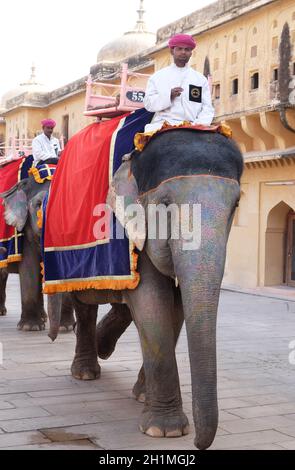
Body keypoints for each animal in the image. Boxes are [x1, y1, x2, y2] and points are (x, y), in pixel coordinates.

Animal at [0, 174, 76, 332]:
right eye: (38, 204)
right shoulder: (24, 228)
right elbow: (29, 267)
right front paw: (30, 327)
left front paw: (66, 328)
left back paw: (44, 318)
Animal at [32, 129, 244, 448]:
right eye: (165, 204)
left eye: (236, 206)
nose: (198, 443)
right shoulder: (130, 230)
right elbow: (153, 304)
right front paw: (165, 431)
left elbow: (175, 308)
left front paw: (145, 400)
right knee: (86, 305)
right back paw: (85, 372)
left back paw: (104, 347)